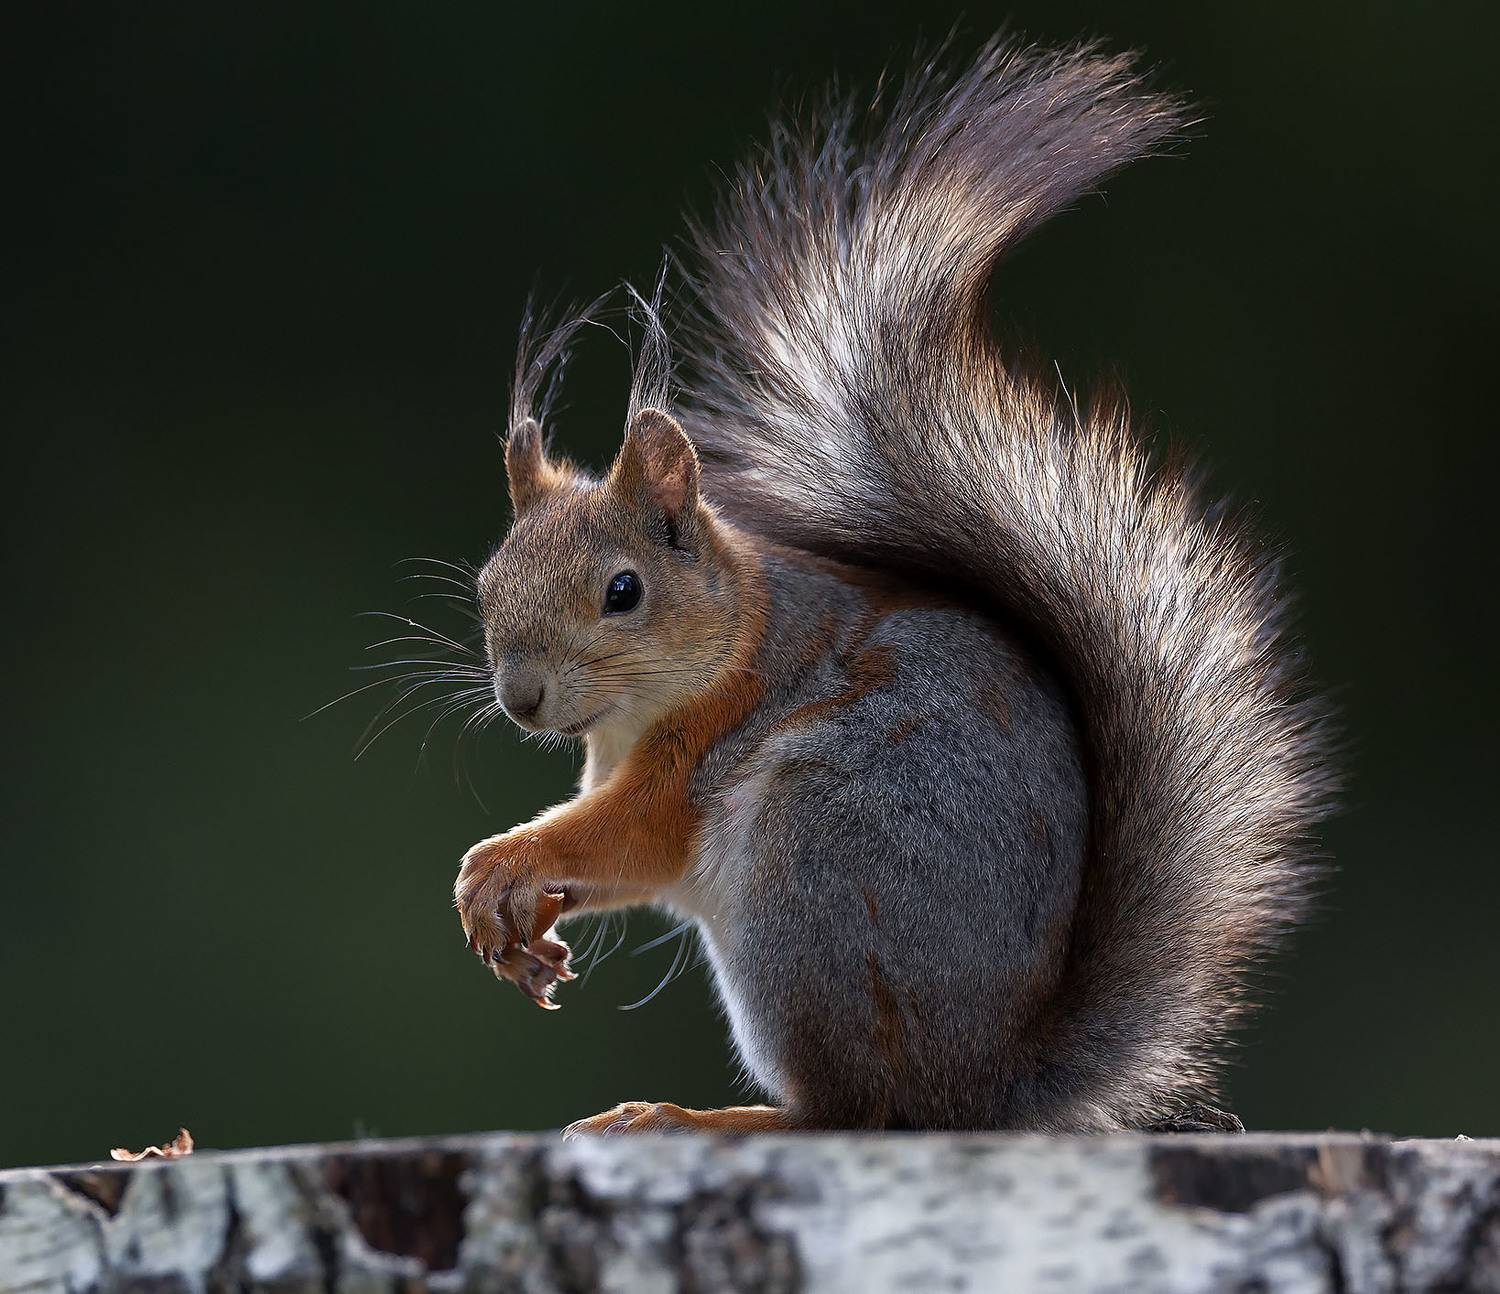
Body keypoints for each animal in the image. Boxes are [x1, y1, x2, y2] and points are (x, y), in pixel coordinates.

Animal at [451, 38, 1336, 1136]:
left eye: (624, 590)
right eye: (487, 583)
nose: (521, 698)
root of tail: (982, 1087)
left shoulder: (700, 744)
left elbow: (628, 836)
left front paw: (503, 863)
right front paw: (524, 924)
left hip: (814, 878)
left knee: (849, 1111)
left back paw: (697, 1119)